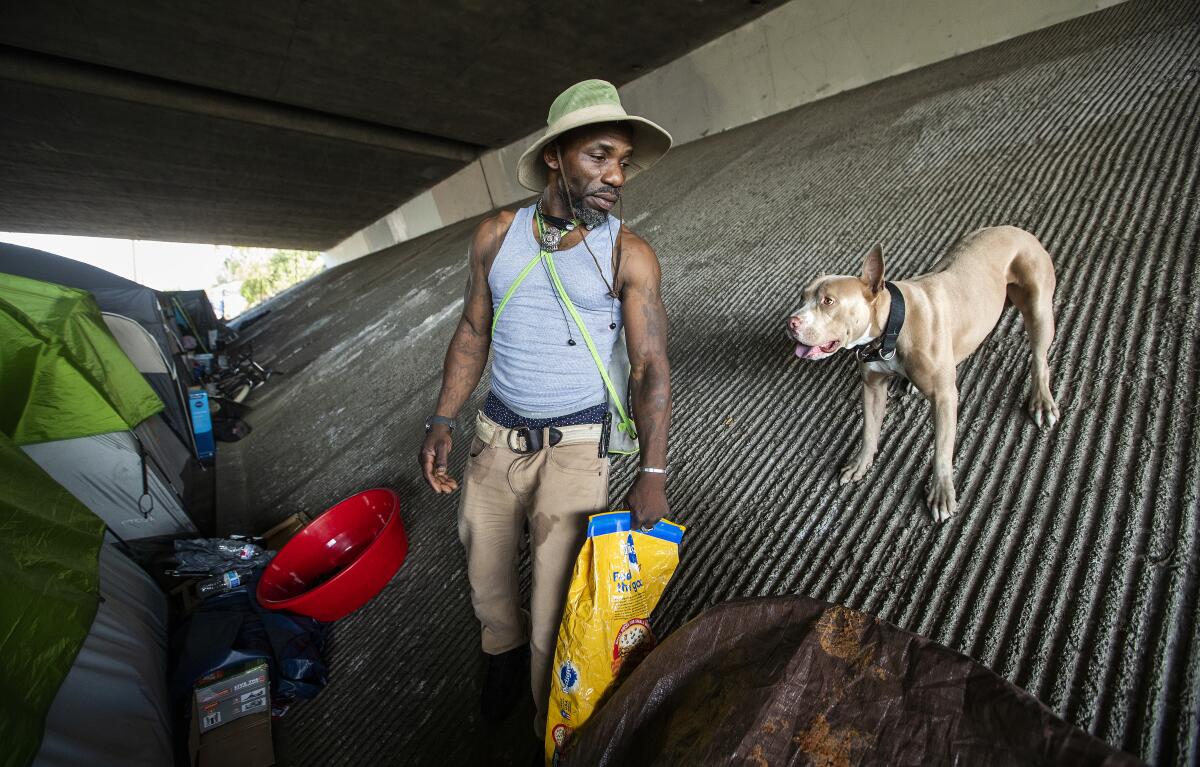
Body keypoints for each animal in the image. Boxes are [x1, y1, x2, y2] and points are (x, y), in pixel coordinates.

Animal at [787, 223, 1060, 523]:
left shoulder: (944, 398)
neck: (891, 328)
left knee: (1039, 359)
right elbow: (869, 430)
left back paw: (1042, 401)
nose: (791, 322)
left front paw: (941, 493)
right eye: (802, 297)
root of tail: (1019, 230)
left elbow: (942, 449)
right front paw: (861, 463)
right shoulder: (872, 387)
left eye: (828, 301)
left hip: (1039, 309)